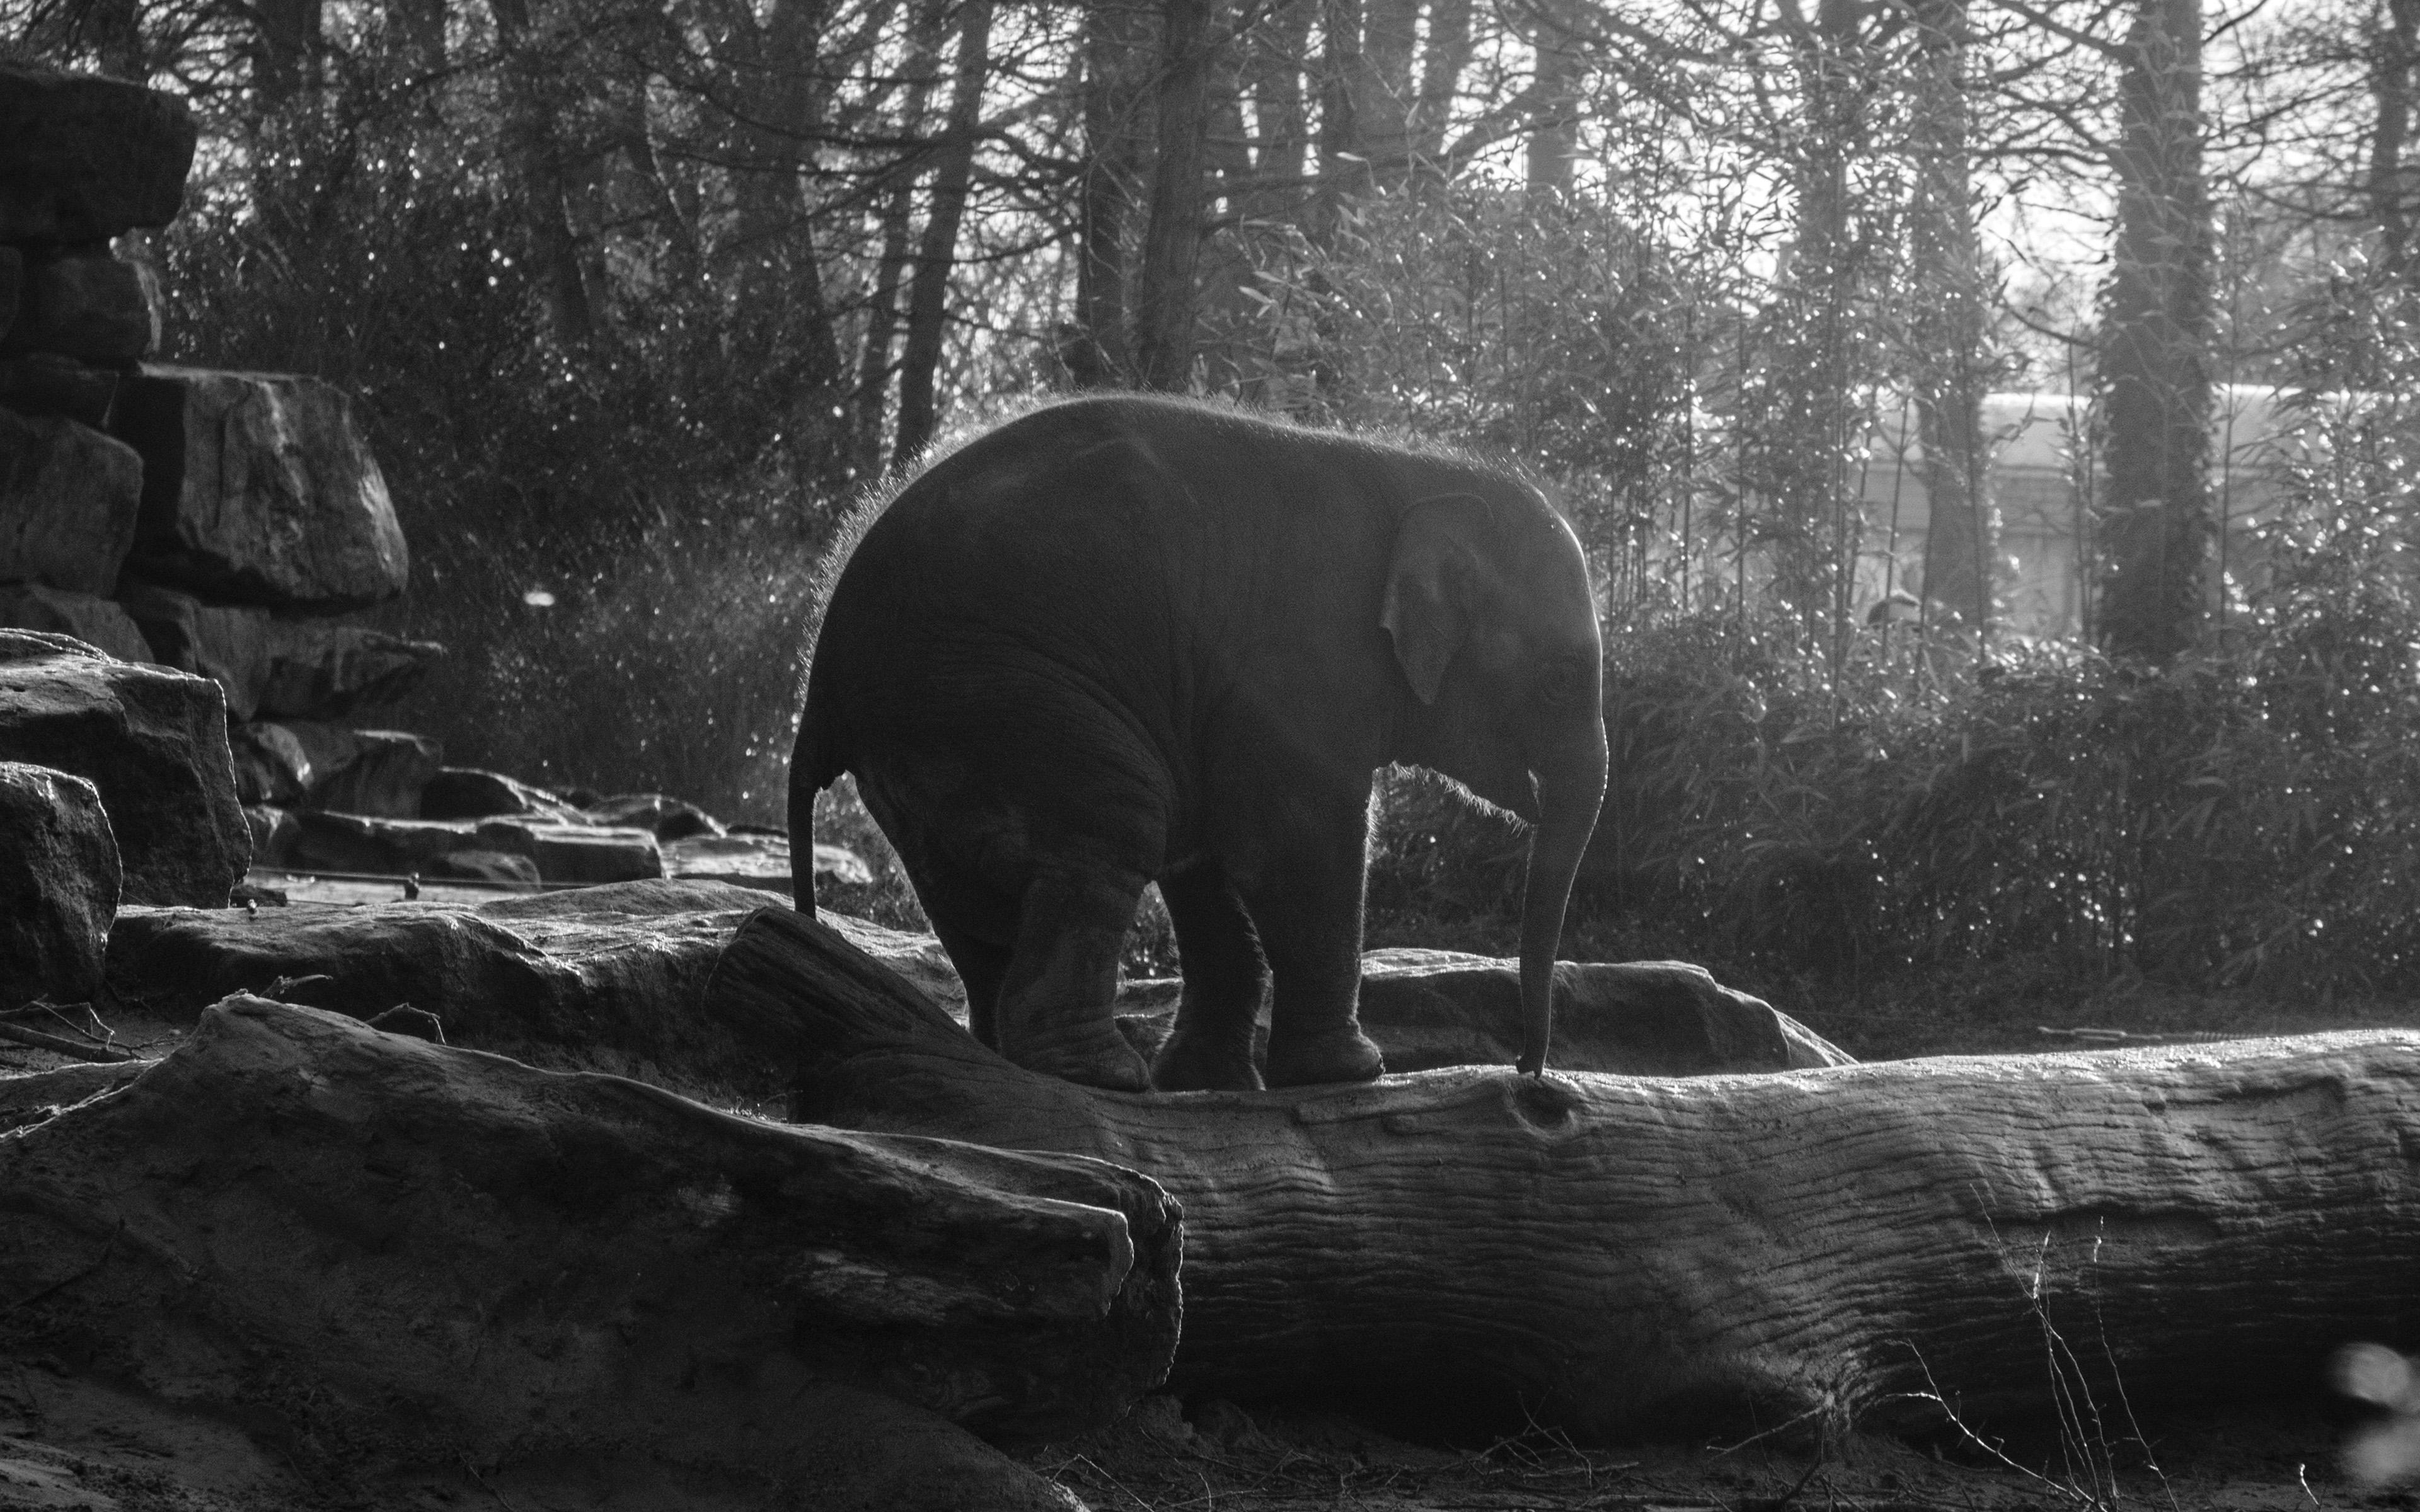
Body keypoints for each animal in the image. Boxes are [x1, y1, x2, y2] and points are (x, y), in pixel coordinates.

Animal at [791, 394, 1607, 1093]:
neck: (1423, 475)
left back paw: (1009, 1054)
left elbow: (1212, 859)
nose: (1527, 1068)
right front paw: (1350, 1073)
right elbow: (1294, 841)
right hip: (994, 696)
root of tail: (821, 684)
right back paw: (1102, 1074)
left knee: (969, 895)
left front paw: (1213, 1079)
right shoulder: (1297, 654)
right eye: (1560, 682)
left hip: (926, 745)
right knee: (1117, 822)